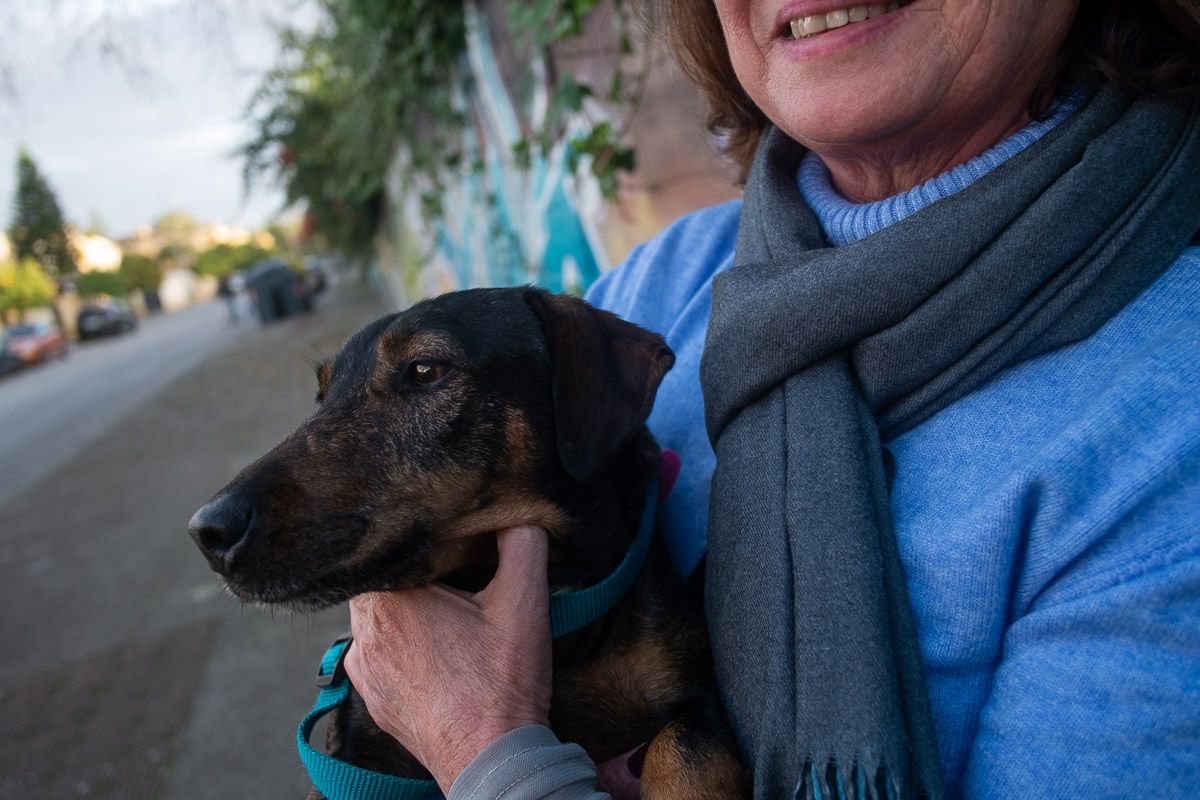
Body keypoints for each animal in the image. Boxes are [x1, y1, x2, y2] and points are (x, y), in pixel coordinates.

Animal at [187, 289, 744, 800]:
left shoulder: (699, 698)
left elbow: (681, 752)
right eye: (322, 396)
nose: (207, 533)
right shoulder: (354, 765)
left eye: (425, 369)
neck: (559, 610)